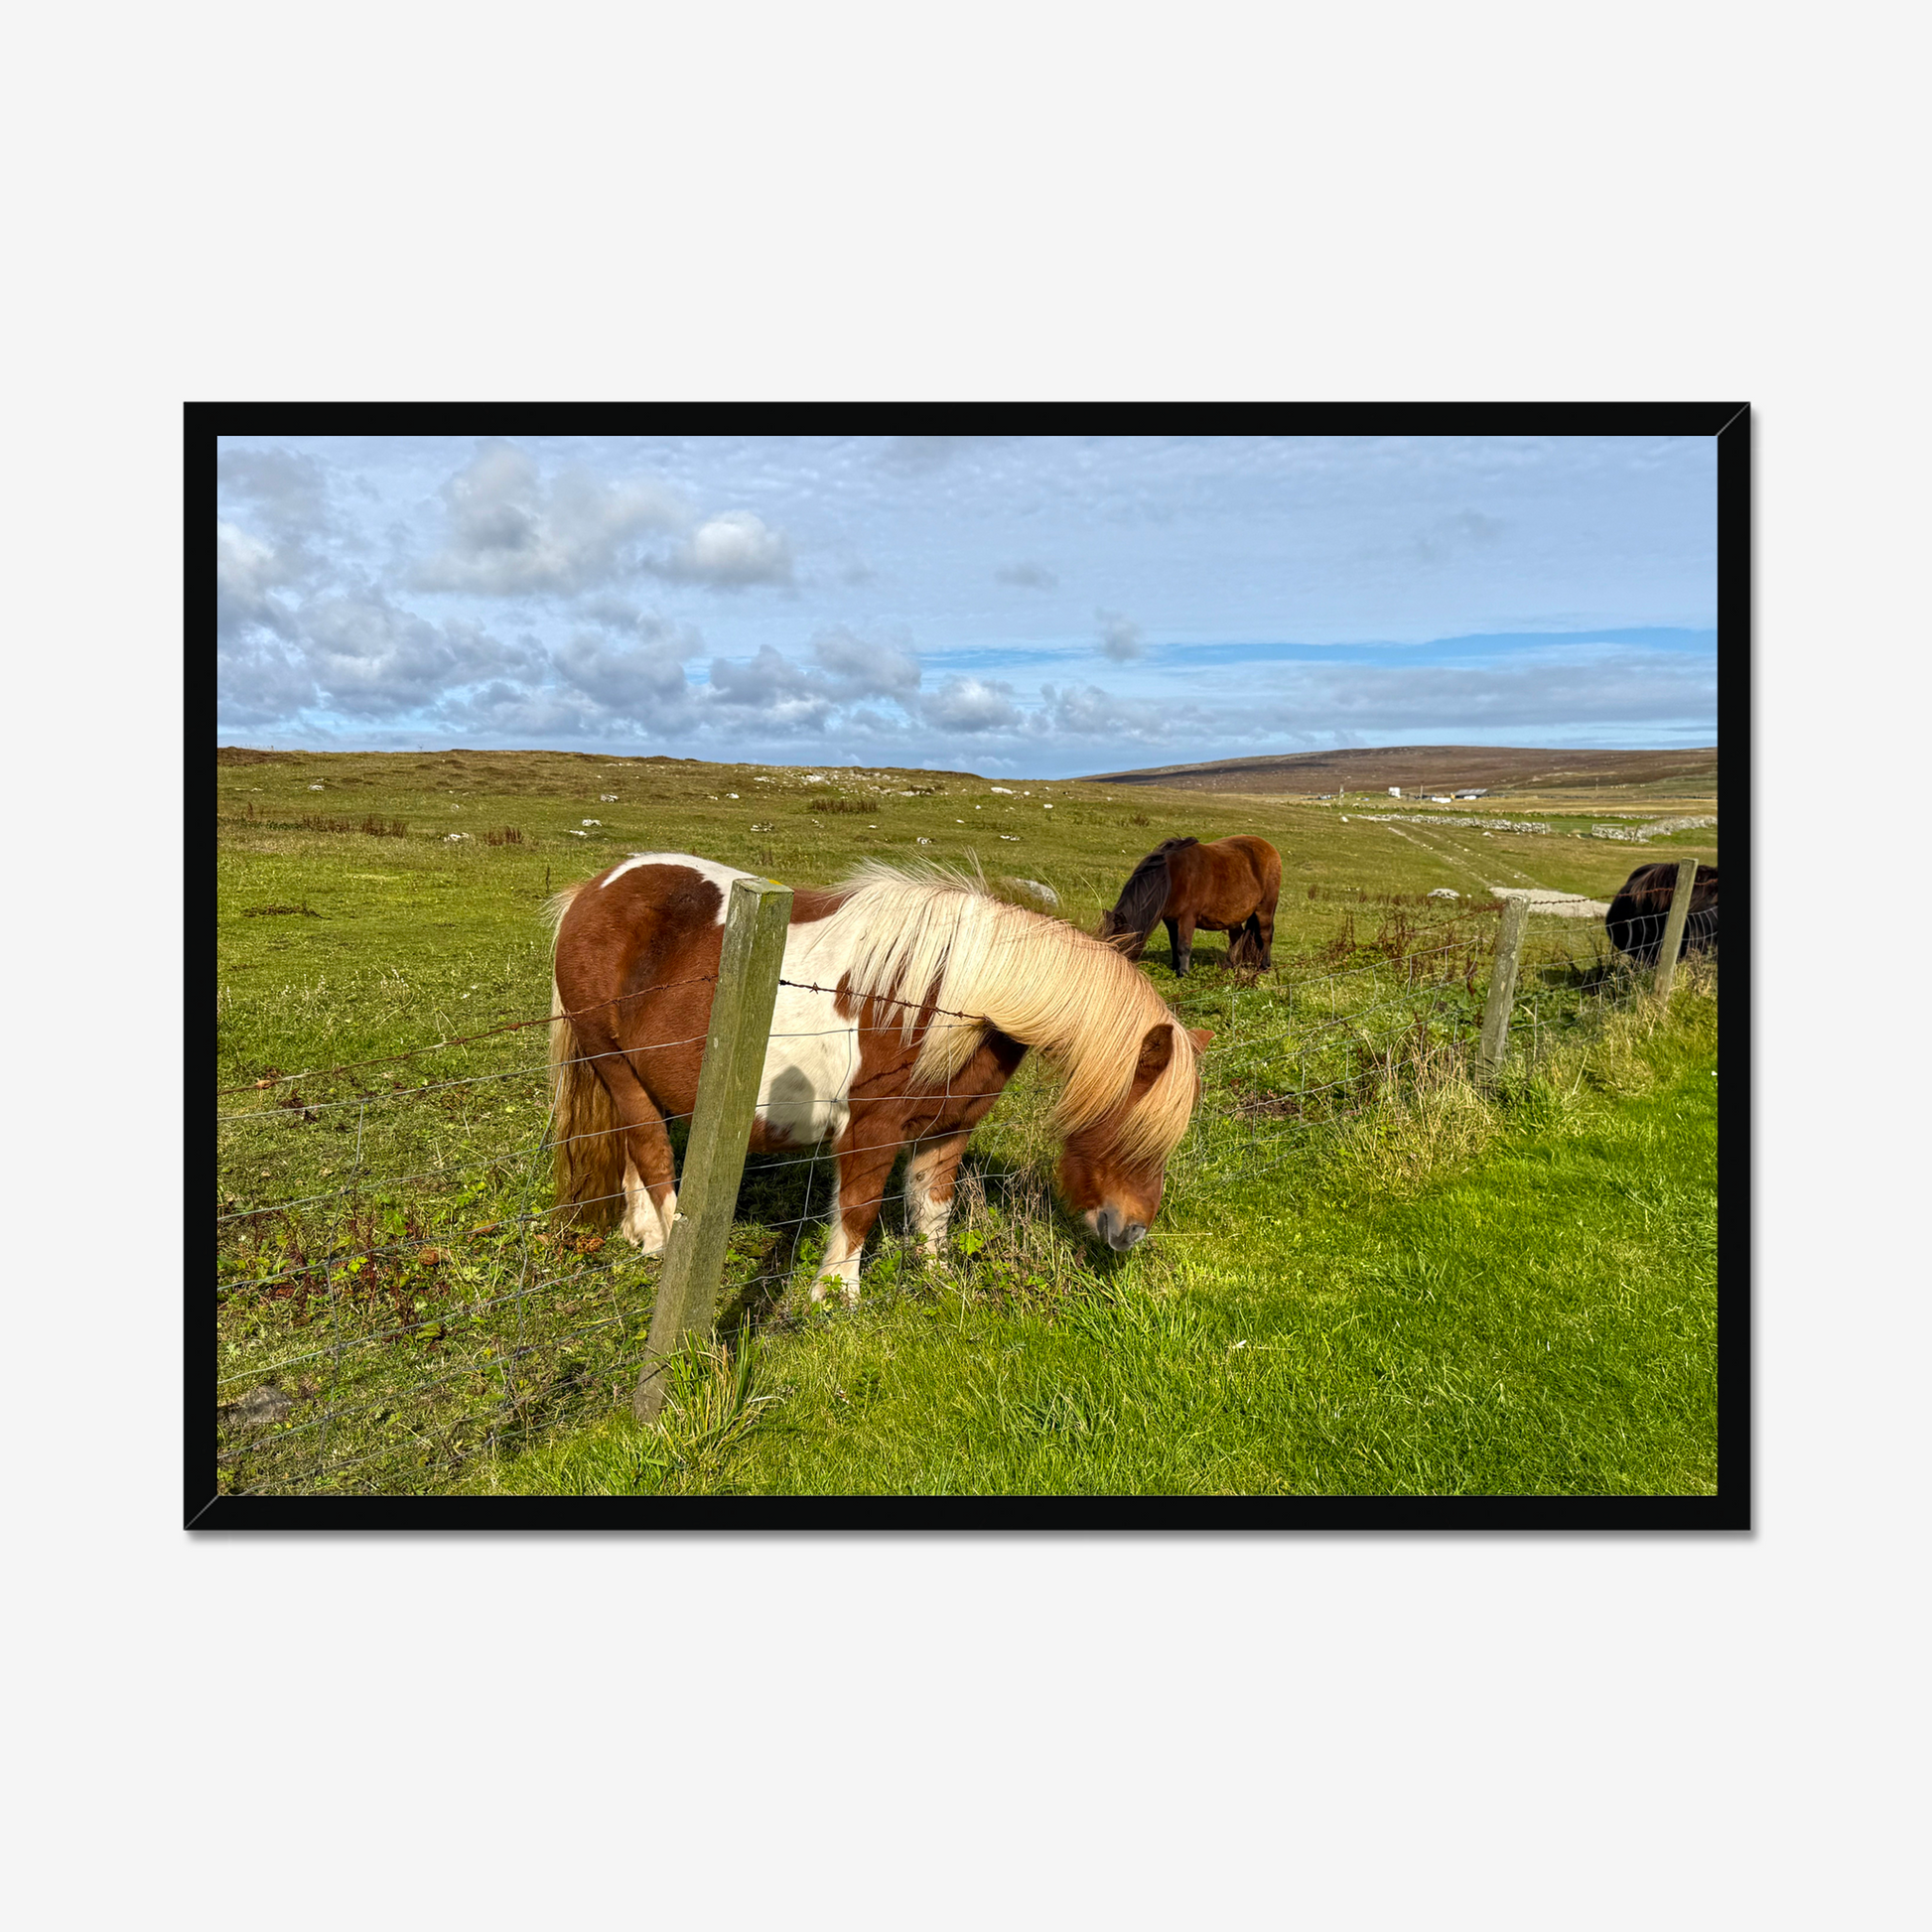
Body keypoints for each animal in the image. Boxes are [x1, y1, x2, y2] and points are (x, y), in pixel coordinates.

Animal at [547, 855, 1213, 1303]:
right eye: (1127, 1125)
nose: (1131, 1233)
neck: (961, 998)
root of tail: (594, 890)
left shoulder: (948, 1129)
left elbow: (933, 1209)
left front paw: (935, 1280)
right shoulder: (870, 1130)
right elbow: (860, 1211)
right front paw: (835, 1301)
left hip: (637, 1077)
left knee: (633, 1151)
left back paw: (643, 1235)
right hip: (613, 1063)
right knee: (653, 1153)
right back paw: (666, 1246)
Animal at [1097, 835, 1282, 976]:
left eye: (1118, 944)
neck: (1172, 876)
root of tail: (1270, 848)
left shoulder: (1187, 918)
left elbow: (1183, 946)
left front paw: (1183, 973)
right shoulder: (1170, 920)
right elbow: (1174, 943)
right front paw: (1174, 967)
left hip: (1265, 908)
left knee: (1266, 934)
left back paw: (1264, 966)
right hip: (1234, 916)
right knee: (1237, 936)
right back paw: (1229, 965)